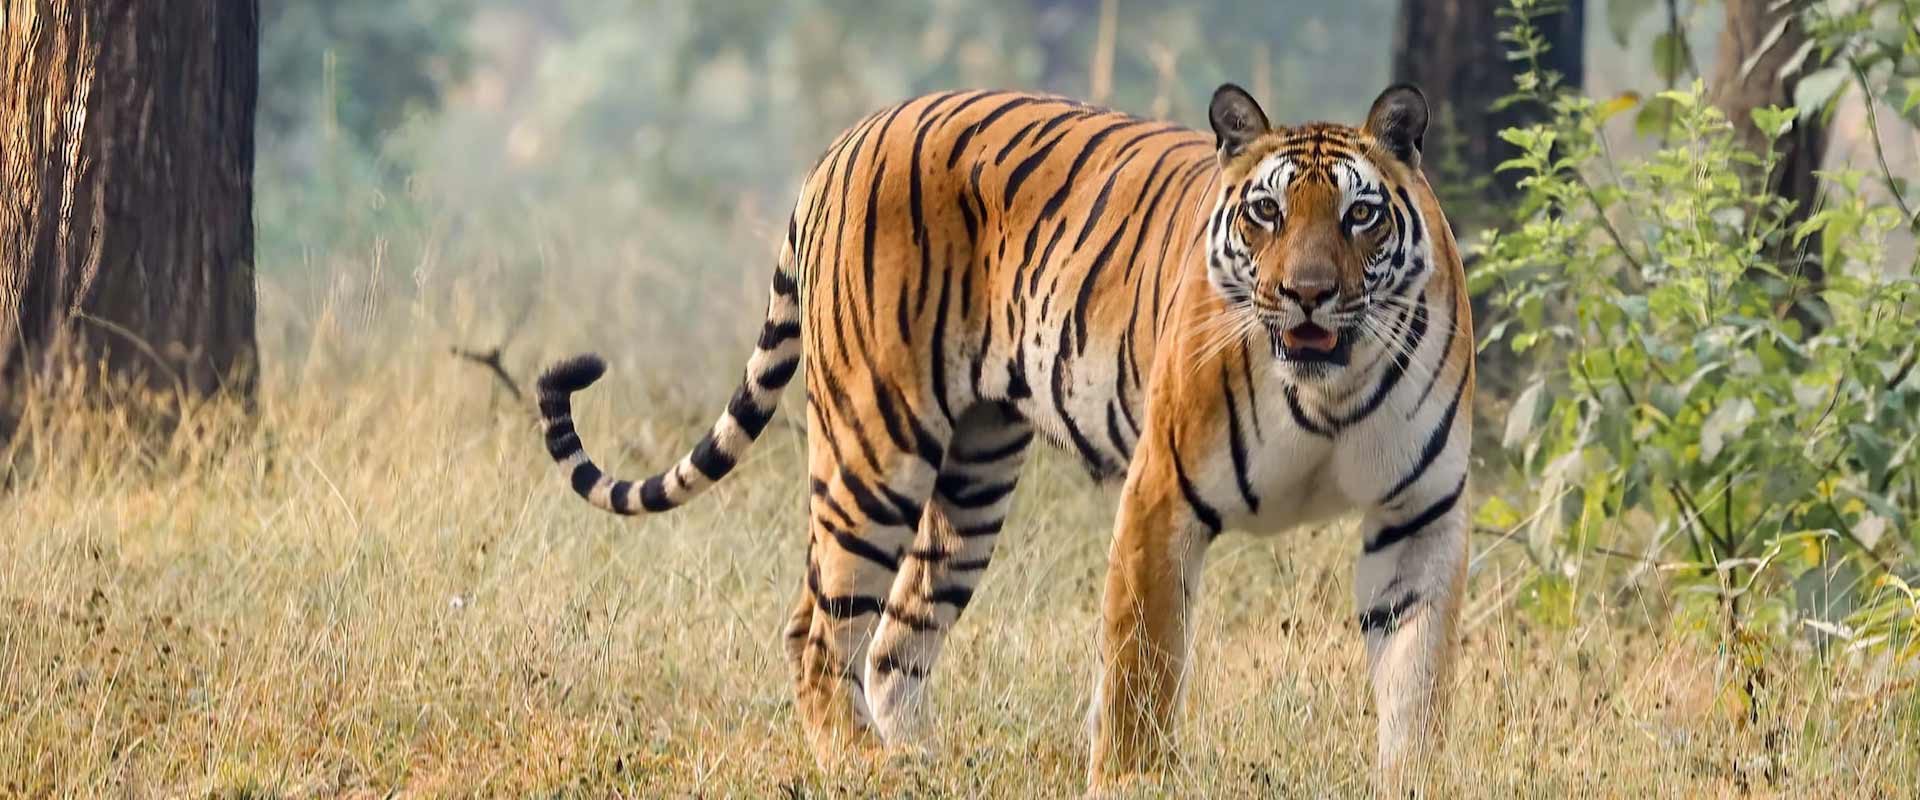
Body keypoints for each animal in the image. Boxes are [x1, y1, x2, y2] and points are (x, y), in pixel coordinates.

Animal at [535, 82, 1472, 793]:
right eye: (1267, 213)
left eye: (1359, 216)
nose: (1308, 294)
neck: (1328, 387)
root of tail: (849, 137)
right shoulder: (1162, 497)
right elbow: (1141, 673)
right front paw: (1134, 781)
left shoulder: (1420, 516)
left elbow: (1417, 682)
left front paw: (1412, 780)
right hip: (874, 447)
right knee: (817, 629)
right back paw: (861, 767)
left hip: (974, 477)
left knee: (896, 639)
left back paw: (923, 765)